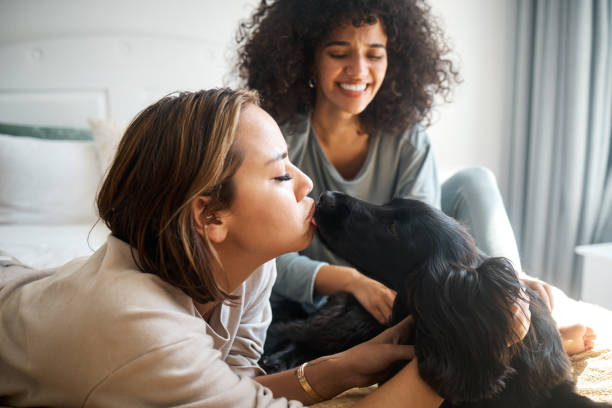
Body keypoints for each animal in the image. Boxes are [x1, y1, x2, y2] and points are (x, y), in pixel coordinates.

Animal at [260, 192, 608, 408]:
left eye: (393, 228)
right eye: (388, 205)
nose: (325, 197)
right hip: (353, 324)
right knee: (293, 332)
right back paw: (273, 361)